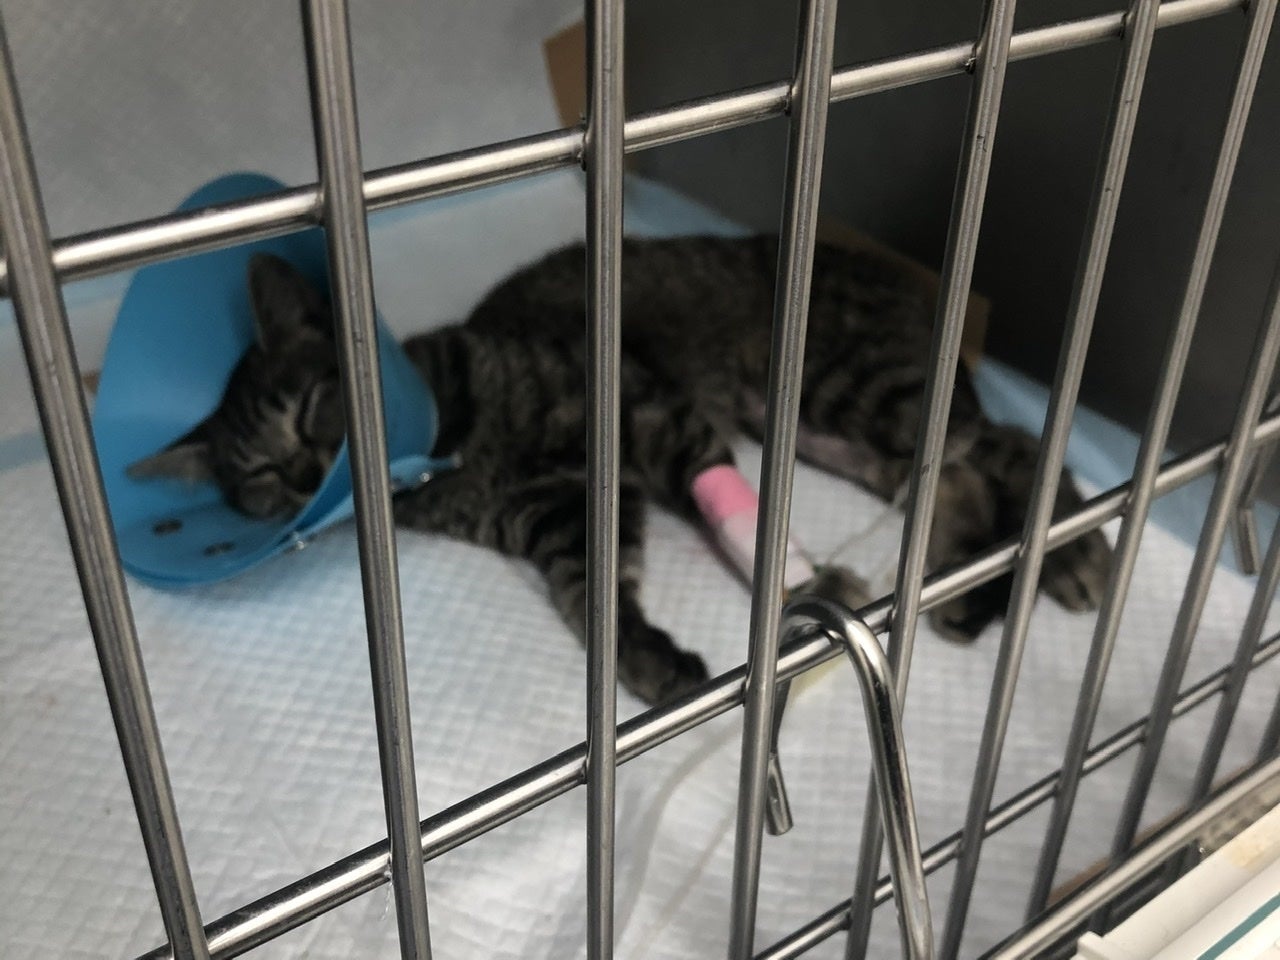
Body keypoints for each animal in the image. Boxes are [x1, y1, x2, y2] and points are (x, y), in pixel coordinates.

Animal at [128, 238, 1113, 705]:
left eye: (309, 409)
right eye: (259, 475)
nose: (306, 475)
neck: (457, 449)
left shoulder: (649, 418)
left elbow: (731, 519)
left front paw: (801, 589)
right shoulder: (560, 513)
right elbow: (594, 598)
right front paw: (649, 658)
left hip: (858, 391)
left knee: (1014, 440)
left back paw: (1069, 549)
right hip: (836, 432)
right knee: (953, 468)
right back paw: (970, 587)